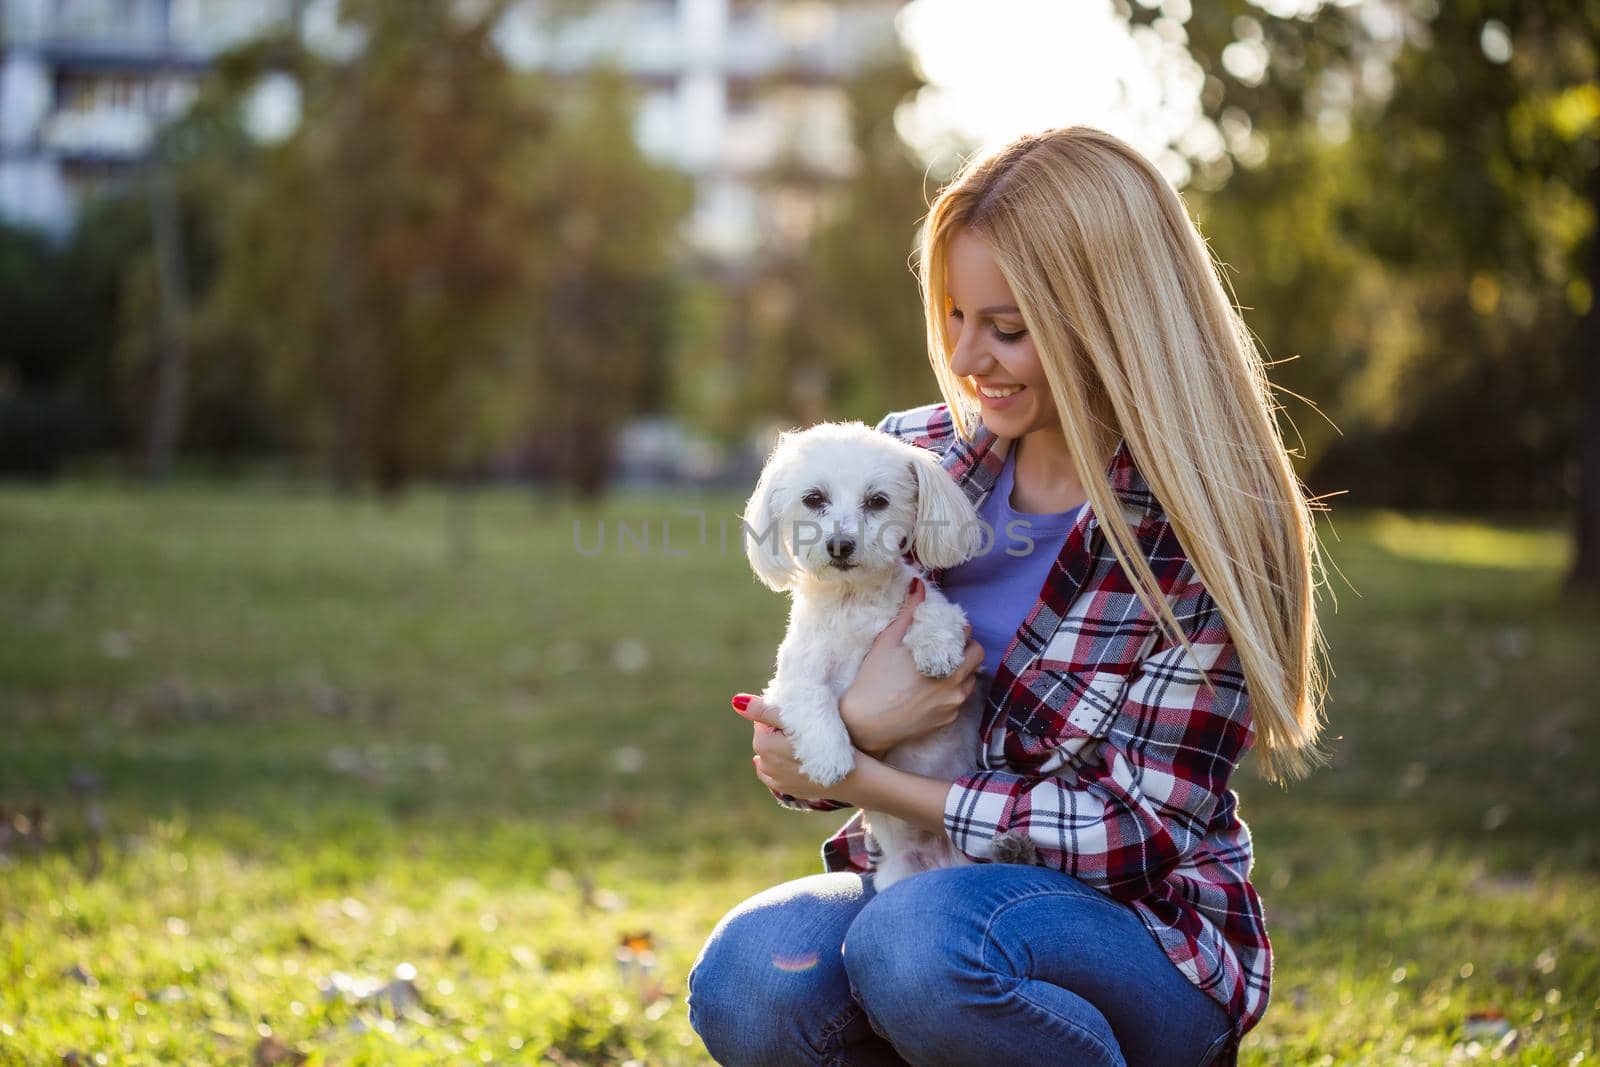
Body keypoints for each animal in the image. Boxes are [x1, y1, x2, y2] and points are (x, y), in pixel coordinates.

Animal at [742, 422, 992, 889]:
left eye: (878, 501)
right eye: (813, 498)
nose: (841, 544)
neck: (852, 601)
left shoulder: (930, 602)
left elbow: (936, 610)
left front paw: (936, 649)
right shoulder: (789, 681)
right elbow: (813, 699)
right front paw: (830, 757)